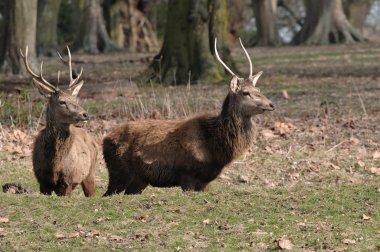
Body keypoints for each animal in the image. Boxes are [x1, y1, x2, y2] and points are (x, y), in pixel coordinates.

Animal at [20, 46, 98, 197]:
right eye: (62, 102)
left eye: (76, 99)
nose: (85, 114)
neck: (54, 165)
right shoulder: (42, 182)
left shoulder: (67, 181)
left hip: (90, 172)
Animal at [101, 38, 274, 196]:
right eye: (245, 92)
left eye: (258, 89)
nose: (271, 104)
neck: (215, 147)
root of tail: (104, 139)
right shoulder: (187, 176)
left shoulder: (205, 181)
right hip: (118, 173)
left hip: (138, 180)